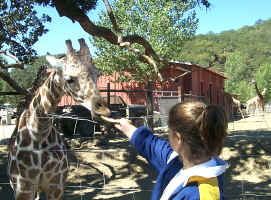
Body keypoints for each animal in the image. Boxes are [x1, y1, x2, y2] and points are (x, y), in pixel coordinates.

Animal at [7, 38, 111, 199]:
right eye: (69, 79)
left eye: (98, 74)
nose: (103, 110)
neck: (39, 132)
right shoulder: (23, 189)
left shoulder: (56, 186)